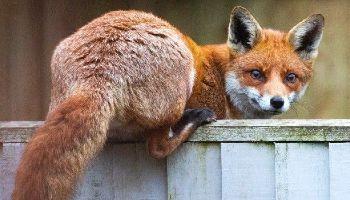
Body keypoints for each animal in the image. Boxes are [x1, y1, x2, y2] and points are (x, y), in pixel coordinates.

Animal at [12, 5, 324, 198]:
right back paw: (192, 121)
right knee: (158, 146)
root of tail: (98, 73)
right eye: (256, 74)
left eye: (291, 77)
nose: (277, 102)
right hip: (178, 80)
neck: (223, 79)